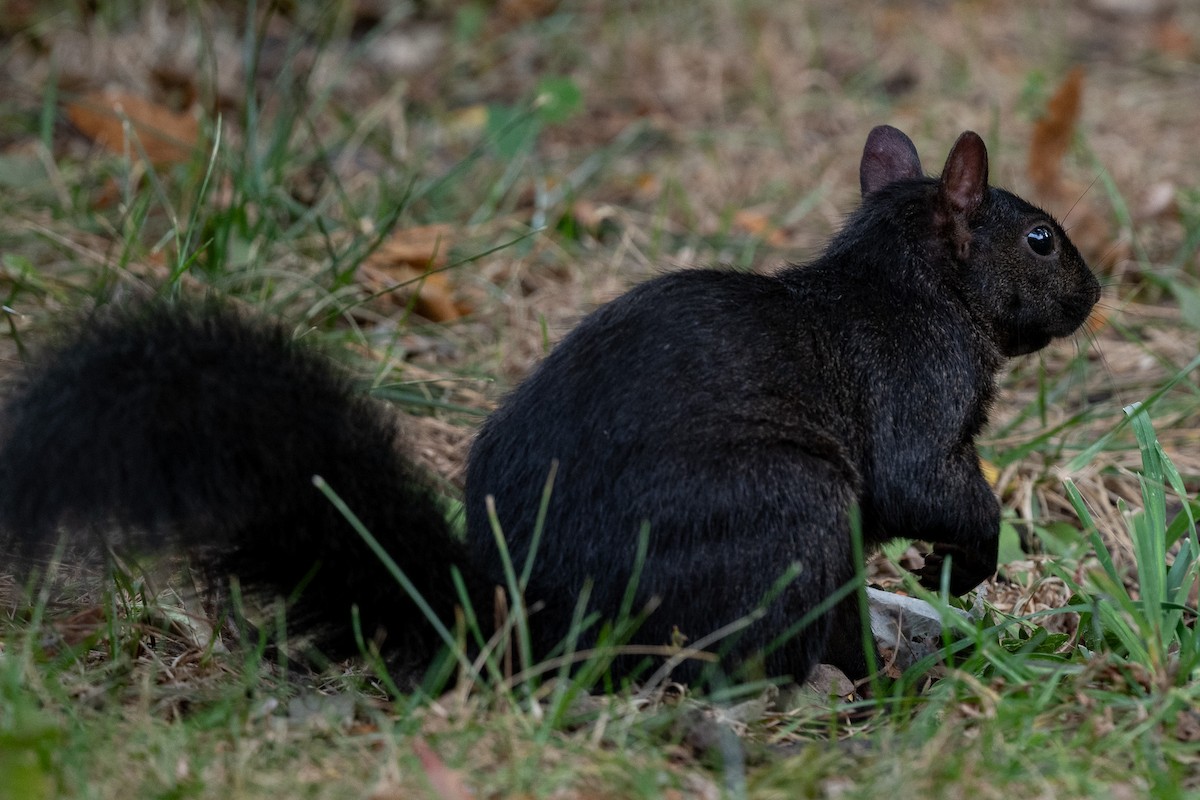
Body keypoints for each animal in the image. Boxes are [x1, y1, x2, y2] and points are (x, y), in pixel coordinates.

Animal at [0, 126, 1100, 687]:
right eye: (1040, 238)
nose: (1093, 293)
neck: (905, 282)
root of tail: (531, 623)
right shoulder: (915, 387)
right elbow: (922, 482)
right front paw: (967, 559)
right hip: (787, 513)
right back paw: (875, 675)